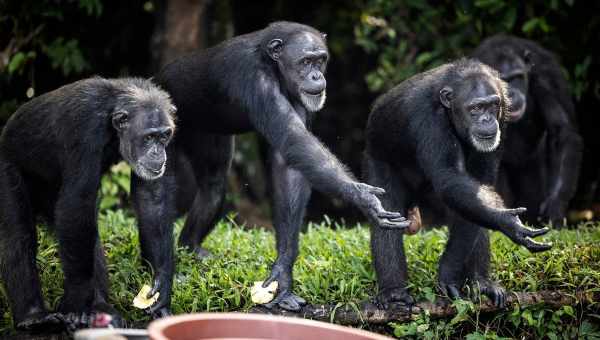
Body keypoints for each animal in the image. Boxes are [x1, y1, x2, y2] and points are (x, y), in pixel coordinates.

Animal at [0, 77, 176, 330]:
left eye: (163, 136)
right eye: (149, 137)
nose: (158, 152)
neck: (112, 120)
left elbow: (152, 198)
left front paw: (161, 287)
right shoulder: (84, 129)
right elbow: (77, 203)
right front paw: (75, 305)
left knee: (87, 233)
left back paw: (100, 307)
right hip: (7, 164)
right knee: (20, 235)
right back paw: (33, 317)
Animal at [151, 21, 408, 310]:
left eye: (321, 60)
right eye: (306, 61)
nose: (317, 76)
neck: (273, 66)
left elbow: (289, 166)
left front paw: (282, 276)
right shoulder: (253, 79)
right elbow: (292, 138)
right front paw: (363, 197)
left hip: (210, 132)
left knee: (213, 185)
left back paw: (190, 246)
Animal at [360, 58, 552, 308]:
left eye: (492, 105)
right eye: (475, 108)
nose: (486, 119)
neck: (449, 110)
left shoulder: (504, 118)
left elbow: (478, 189)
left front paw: (451, 275)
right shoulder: (429, 119)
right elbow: (449, 178)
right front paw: (509, 222)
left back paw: (482, 283)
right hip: (377, 158)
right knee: (387, 214)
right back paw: (394, 294)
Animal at [474, 35, 580, 226]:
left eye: (517, 77)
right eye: (503, 80)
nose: (512, 94)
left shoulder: (547, 77)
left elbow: (561, 132)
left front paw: (555, 205)